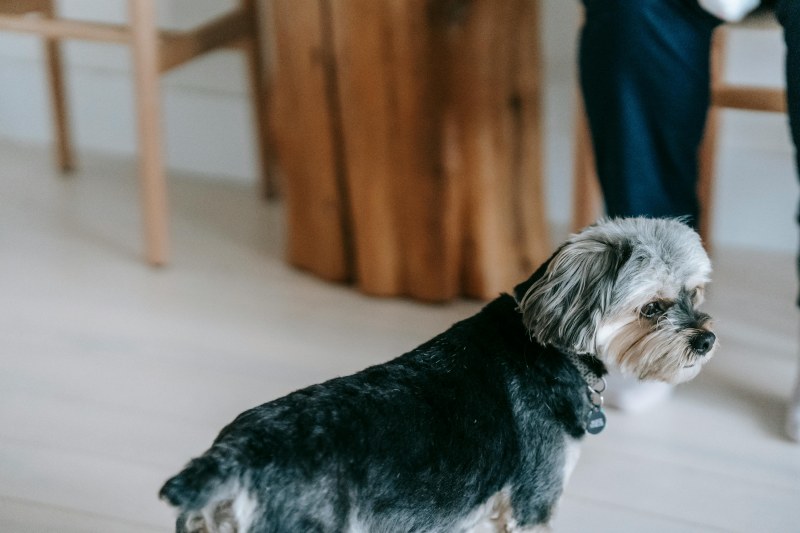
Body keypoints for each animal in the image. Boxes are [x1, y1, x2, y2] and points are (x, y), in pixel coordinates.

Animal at [160, 217, 716, 532]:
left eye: (696, 293)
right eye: (652, 308)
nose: (706, 341)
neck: (551, 345)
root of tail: (234, 457)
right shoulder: (533, 502)